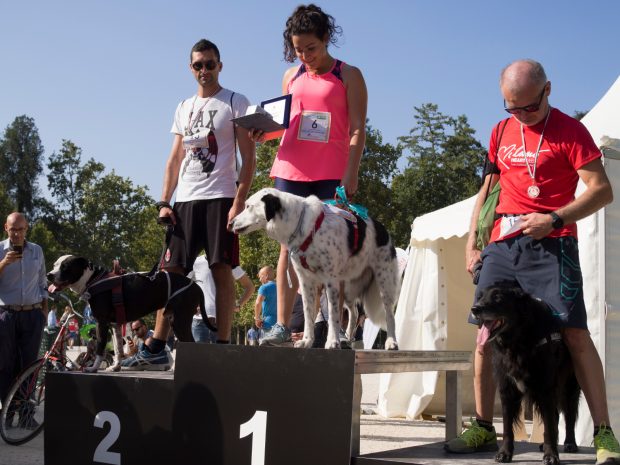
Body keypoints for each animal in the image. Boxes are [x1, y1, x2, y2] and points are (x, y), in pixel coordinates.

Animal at [48, 252, 208, 372]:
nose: (49, 275)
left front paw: (93, 368)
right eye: (55, 264)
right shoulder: (115, 326)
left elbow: (100, 347)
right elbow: (118, 349)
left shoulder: (102, 323)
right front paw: (115, 367)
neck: (93, 279)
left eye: (65, 266)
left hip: (180, 321)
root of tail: (196, 286)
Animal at [230, 187, 400, 350]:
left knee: (389, 314)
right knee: (354, 312)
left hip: (384, 283)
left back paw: (391, 342)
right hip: (349, 287)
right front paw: (307, 341)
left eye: (248, 206)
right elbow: (308, 314)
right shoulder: (305, 281)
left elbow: (332, 313)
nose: (230, 222)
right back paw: (349, 339)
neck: (301, 224)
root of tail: (383, 230)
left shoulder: (330, 280)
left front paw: (332, 341)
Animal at [470, 284, 580, 464]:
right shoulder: (507, 389)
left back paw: (570, 443)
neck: (517, 339)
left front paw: (551, 455)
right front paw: (504, 453)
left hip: (568, 386)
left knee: (568, 416)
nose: (475, 309)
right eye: (480, 297)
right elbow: (508, 428)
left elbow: (549, 426)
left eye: (498, 298)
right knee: (555, 416)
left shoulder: (545, 388)